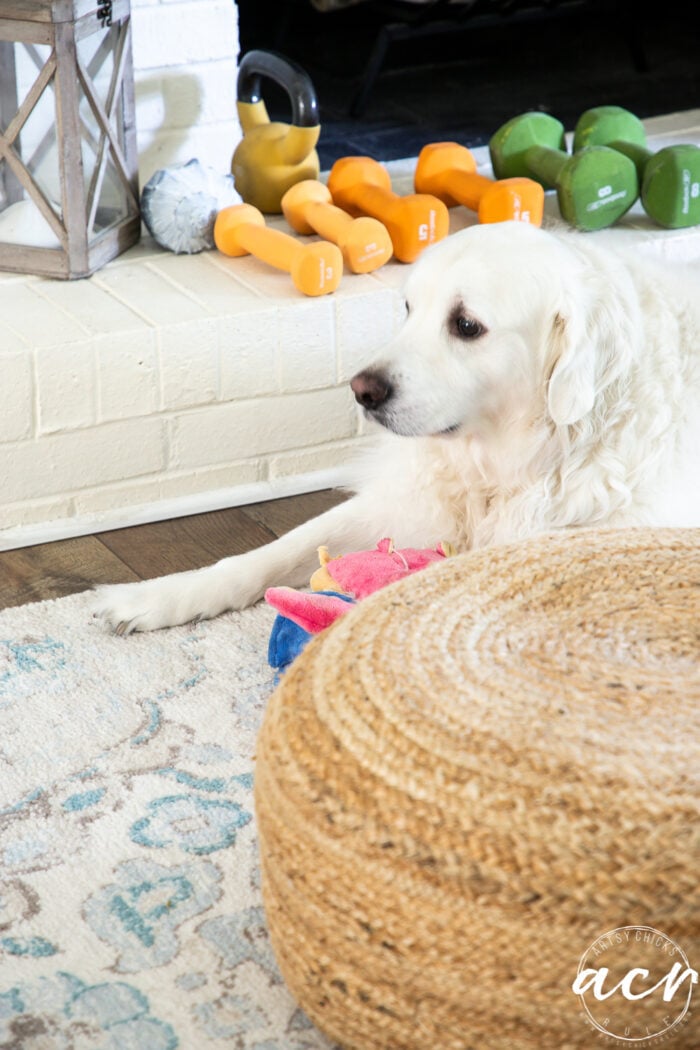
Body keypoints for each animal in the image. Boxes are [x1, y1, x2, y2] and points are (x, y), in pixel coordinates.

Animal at [94, 221, 700, 630]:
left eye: (466, 325)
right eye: (408, 308)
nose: (362, 391)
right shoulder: (404, 501)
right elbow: (269, 553)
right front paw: (156, 597)